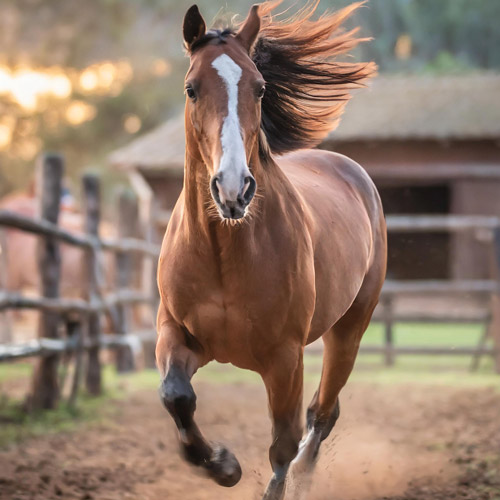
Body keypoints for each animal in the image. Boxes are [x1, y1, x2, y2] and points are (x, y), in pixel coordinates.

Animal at [155, 1, 386, 498]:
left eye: (259, 88)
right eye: (191, 89)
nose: (233, 189)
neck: (223, 251)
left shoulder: (284, 357)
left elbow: (283, 441)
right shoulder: (178, 333)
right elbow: (176, 396)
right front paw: (223, 466)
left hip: (349, 331)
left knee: (322, 414)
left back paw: (304, 476)